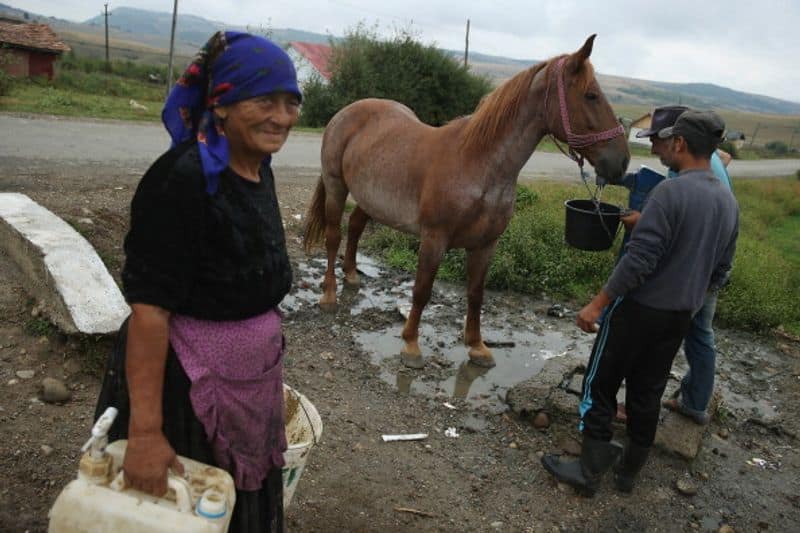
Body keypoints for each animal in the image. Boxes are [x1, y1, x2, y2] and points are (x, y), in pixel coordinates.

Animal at [304, 37, 628, 368]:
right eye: (591, 95)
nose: (621, 161)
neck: (478, 164)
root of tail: (347, 111)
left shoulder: (486, 244)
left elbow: (475, 293)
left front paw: (477, 346)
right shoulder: (434, 239)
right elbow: (422, 290)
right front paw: (411, 345)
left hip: (372, 199)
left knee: (356, 226)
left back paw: (351, 275)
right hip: (336, 186)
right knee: (334, 237)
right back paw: (329, 295)